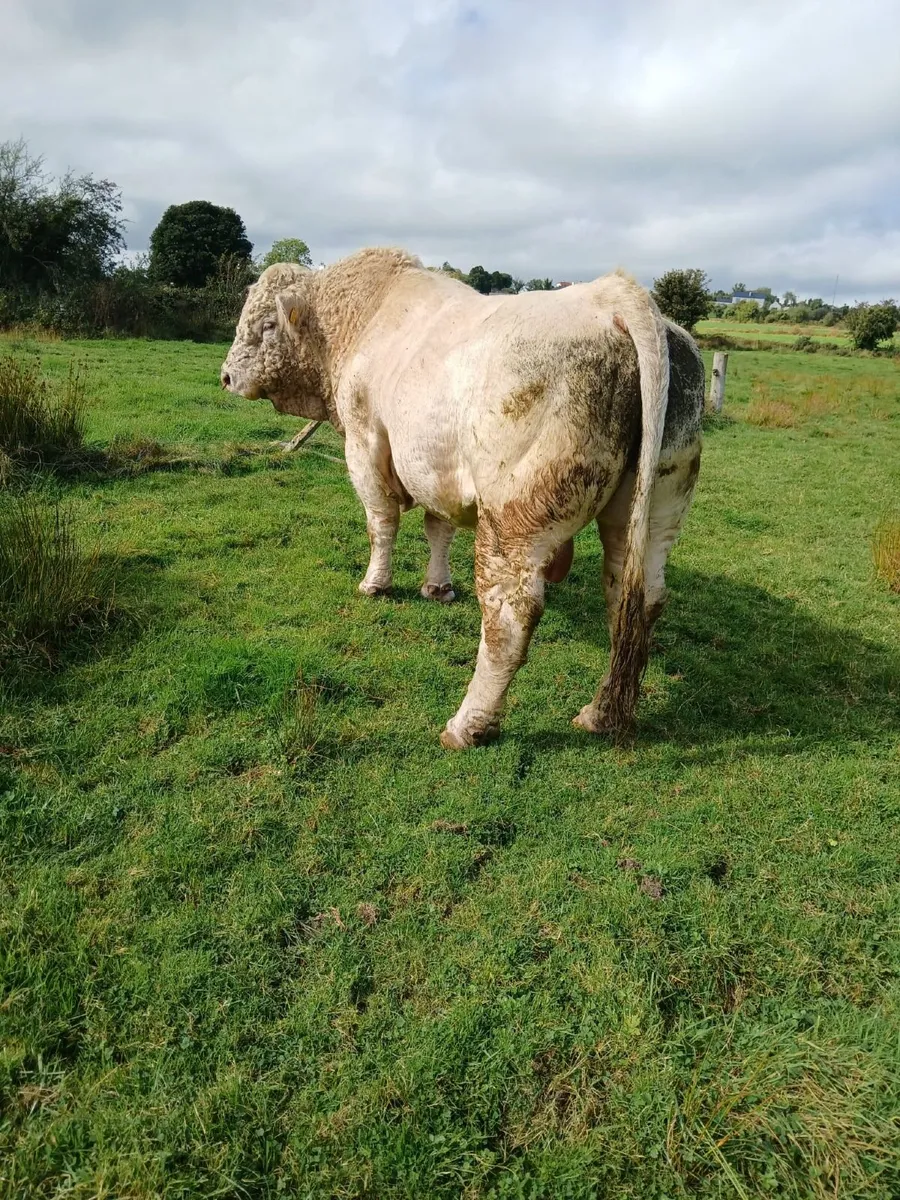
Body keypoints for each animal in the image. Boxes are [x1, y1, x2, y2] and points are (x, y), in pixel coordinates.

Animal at [221, 249, 703, 749]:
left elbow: (381, 523)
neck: (361, 321)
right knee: (636, 599)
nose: (226, 375)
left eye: (268, 324)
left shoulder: (364, 442)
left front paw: (375, 584)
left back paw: (468, 724)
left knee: (510, 615)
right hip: (653, 511)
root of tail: (613, 293)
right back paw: (601, 714)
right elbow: (439, 528)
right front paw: (437, 587)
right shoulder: (437, 472)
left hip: (513, 521)